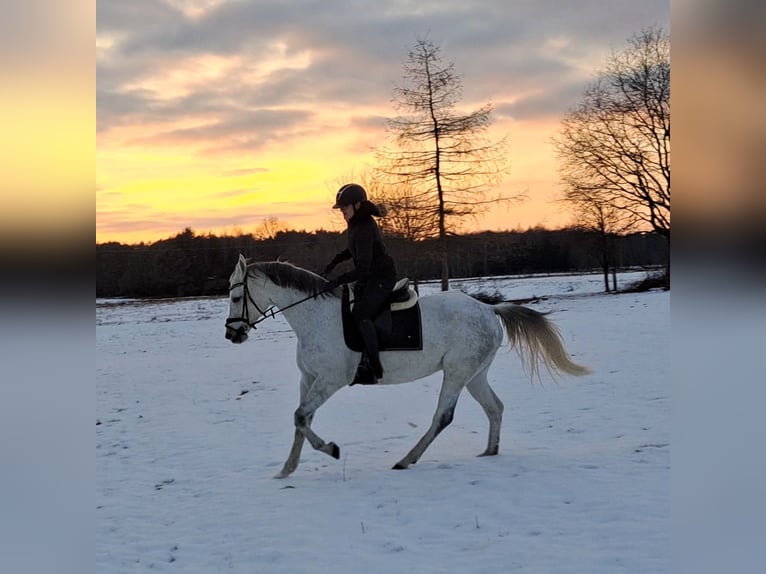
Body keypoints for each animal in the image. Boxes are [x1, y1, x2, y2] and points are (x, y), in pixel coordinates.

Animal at [224, 254, 590, 478]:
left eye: (235, 297)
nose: (232, 334)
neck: (315, 317)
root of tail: (489, 309)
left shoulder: (329, 380)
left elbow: (301, 417)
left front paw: (331, 449)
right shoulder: (309, 379)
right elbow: (301, 420)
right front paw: (286, 469)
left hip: (456, 372)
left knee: (443, 416)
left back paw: (406, 459)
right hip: (475, 374)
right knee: (495, 407)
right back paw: (489, 451)